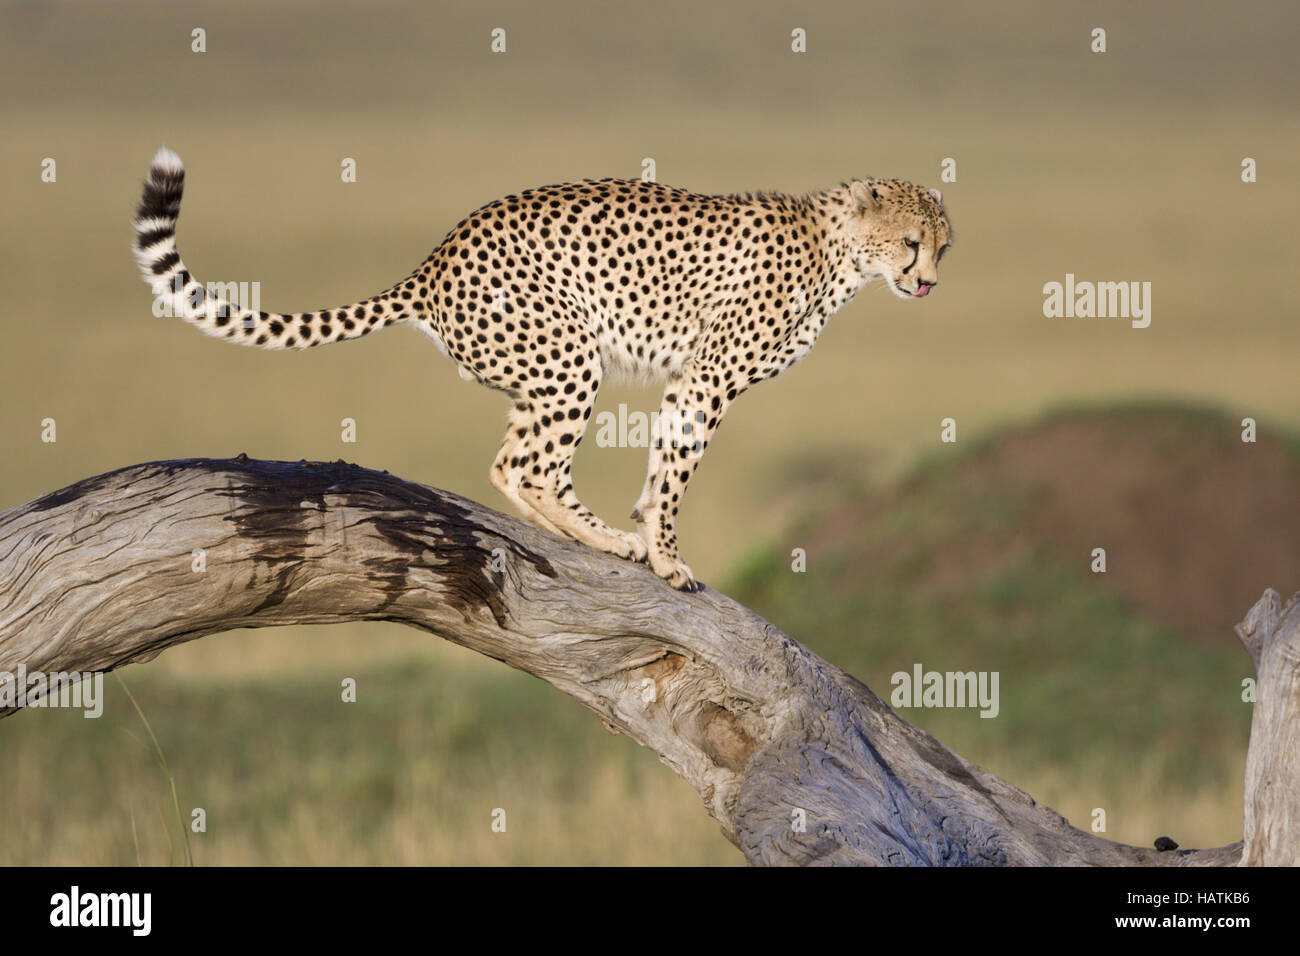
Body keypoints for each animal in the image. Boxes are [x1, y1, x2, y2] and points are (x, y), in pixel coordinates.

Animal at [133, 147, 952, 591]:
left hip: (542, 371)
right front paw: (665, 556)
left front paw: (650, 539)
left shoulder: (688, 380)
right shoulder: (708, 378)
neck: (840, 252)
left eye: (943, 247)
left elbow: (661, 466)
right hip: (570, 355)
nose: (928, 283)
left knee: (508, 464)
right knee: (533, 469)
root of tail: (434, 261)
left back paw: (586, 537)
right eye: (911, 242)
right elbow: (675, 475)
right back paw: (606, 541)